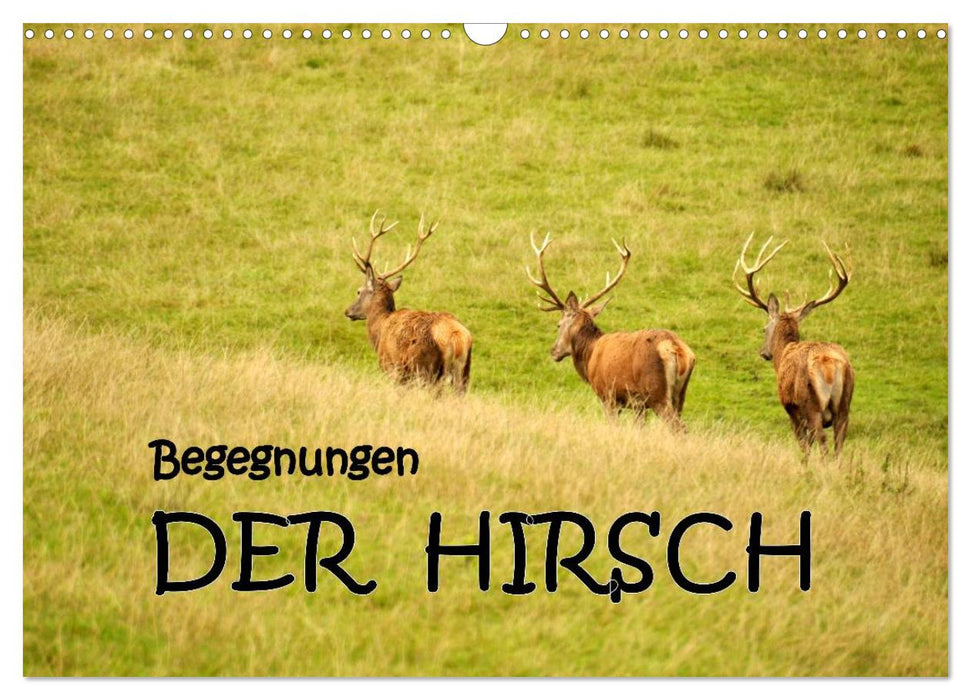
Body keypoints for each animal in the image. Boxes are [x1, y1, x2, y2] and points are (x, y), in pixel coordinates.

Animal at [344, 211, 473, 395]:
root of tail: (458, 337)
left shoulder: (392, 368)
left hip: (427, 370)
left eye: (358, 291)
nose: (347, 311)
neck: (380, 328)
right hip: (464, 372)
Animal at [526, 233, 695, 429]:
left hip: (657, 393)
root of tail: (677, 349)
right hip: (680, 395)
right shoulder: (638, 404)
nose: (553, 351)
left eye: (558, 325)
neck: (589, 355)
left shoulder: (607, 395)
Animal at [733, 233, 855, 456]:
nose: (763, 352)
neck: (784, 352)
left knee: (822, 443)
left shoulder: (790, 407)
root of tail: (831, 365)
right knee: (839, 445)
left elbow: (804, 445)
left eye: (764, 328)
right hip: (845, 404)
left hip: (812, 404)